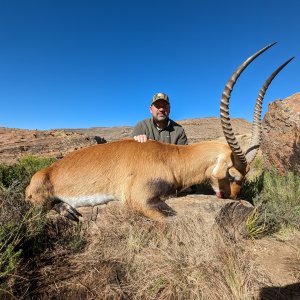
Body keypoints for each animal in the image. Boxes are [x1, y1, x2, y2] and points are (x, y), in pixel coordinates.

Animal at [25, 42, 292, 220]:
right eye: (234, 175)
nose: (232, 197)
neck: (172, 157)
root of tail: (45, 171)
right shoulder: (140, 198)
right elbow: (173, 219)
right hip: (38, 196)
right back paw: (66, 209)